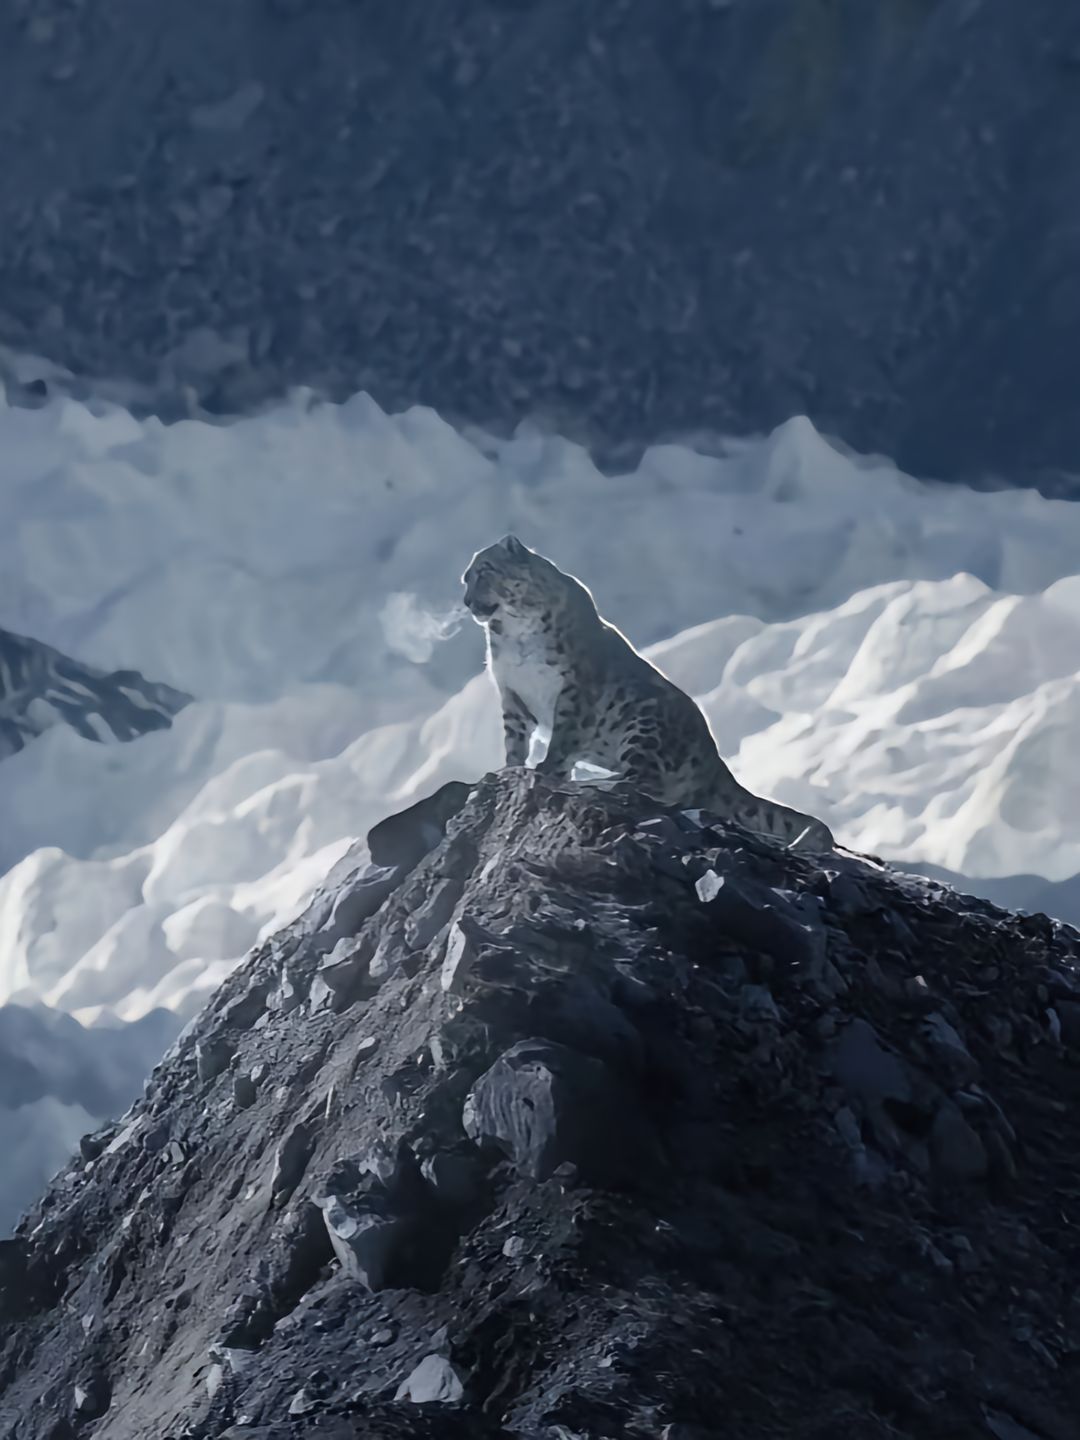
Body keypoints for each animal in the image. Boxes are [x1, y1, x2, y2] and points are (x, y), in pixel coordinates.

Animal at [461, 534, 834, 853]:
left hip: (644, 722)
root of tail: (716, 764)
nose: (465, 601)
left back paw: (600, 782)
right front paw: (509, 770)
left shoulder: (575, 690)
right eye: (466, 578)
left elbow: (563, 740)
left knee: (645, 783)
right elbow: (514, 741)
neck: (516, 633)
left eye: (484, 570)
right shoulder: (511, 693)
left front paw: (545, 770)